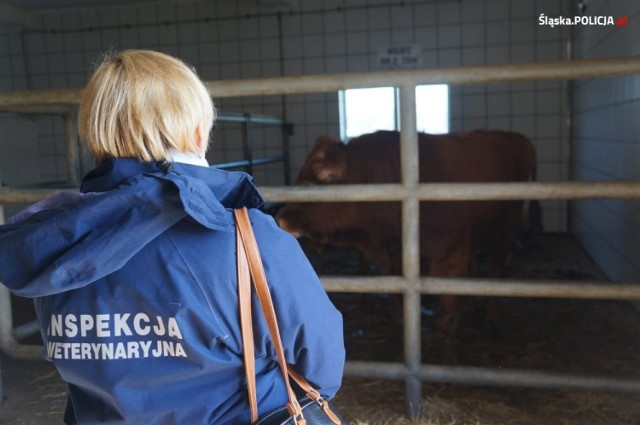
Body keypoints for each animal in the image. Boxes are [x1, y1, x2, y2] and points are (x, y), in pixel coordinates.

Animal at [278, 128, 536, 362]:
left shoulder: (450, 260)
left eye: (310, 183)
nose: (281, 218)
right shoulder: (392, 260)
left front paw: (448, 357)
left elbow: (447, 315)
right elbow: (399, 305)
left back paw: (491, 317)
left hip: (505, 229)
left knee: (495, 271)